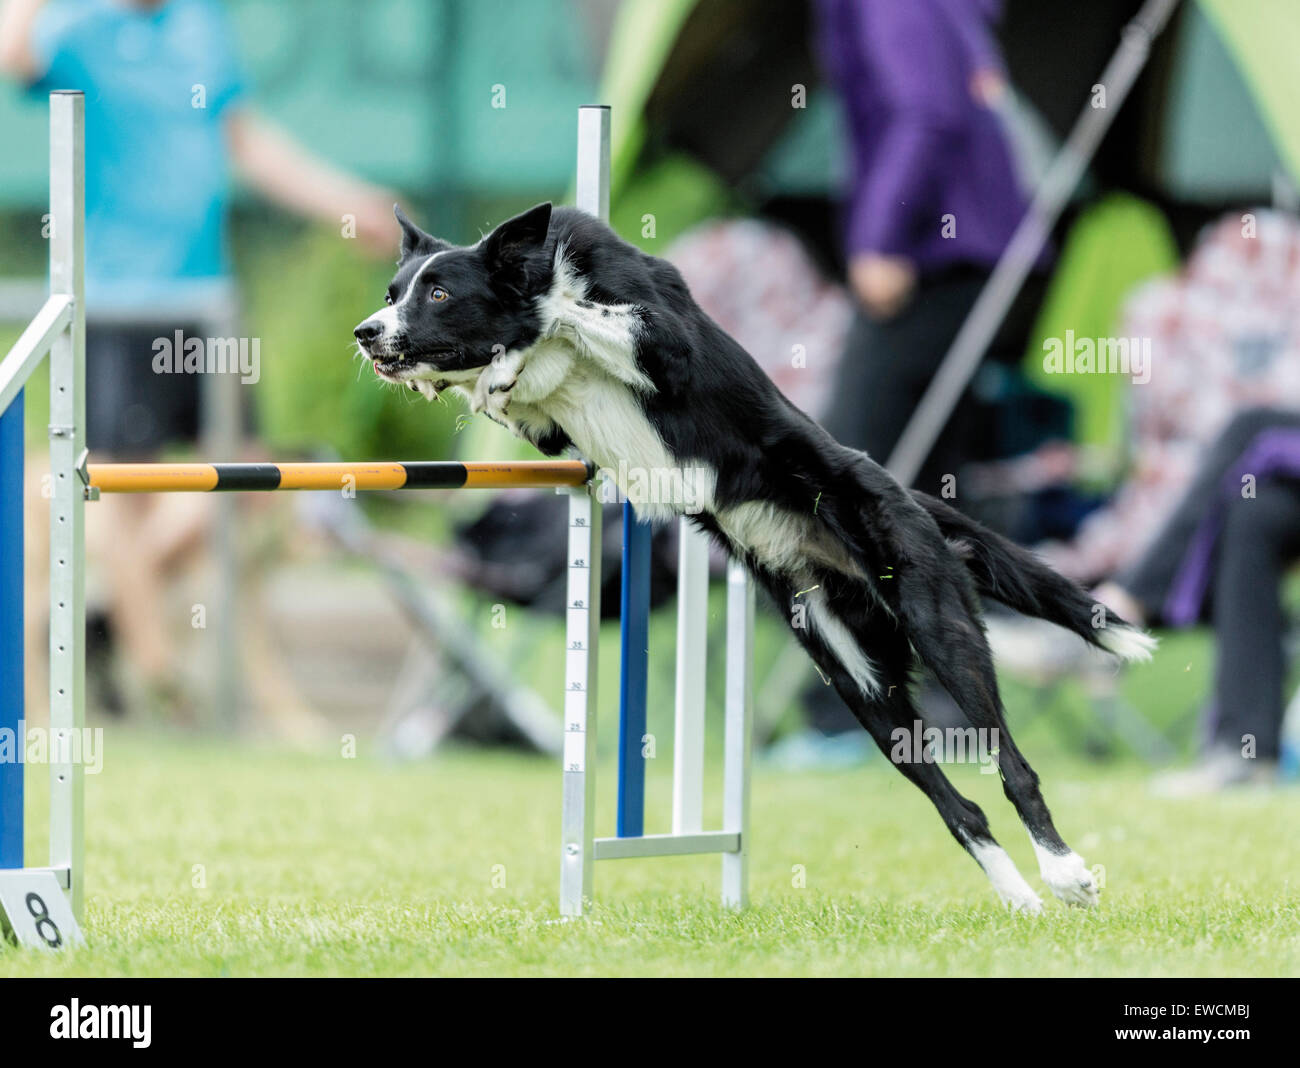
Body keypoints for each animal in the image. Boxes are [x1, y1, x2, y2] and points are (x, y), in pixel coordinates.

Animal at [351, 202, 1154, 909]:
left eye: (440, 293)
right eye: (392, 294)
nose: (365, 332)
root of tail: (908, 496)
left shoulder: (663, 342)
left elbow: (568, 315)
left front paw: (522, 336)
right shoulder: (551, 439)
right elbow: (517, 385)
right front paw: (484, 376)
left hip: (940, 624)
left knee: (1014, 766)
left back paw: (1066, 875)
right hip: (859, 684)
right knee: (961, 808)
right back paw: (1021, 899)